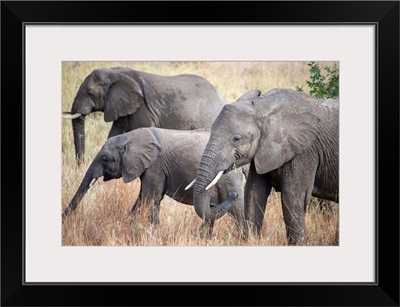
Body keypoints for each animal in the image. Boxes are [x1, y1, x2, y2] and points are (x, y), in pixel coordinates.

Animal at [61, 66, 227, 165]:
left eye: (90, 92)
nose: (80, 166)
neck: (114, 72)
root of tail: (221, 96)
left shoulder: (143, 110)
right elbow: (114, 135)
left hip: (207, 118)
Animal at [63, 127, 245, 238]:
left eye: (105, 159)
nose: (63, 220)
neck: (130, 137)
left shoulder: (155, 167)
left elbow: (151, 199)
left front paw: (150, 234)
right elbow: (142, 199)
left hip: (230, 178)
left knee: (238, 211)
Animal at [192, 88, 340, 245]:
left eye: (236, 139)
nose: (234, 194)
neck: (262, 107)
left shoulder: (303, 151)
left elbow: (293, 198)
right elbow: (253, 194)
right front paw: (250, 242)